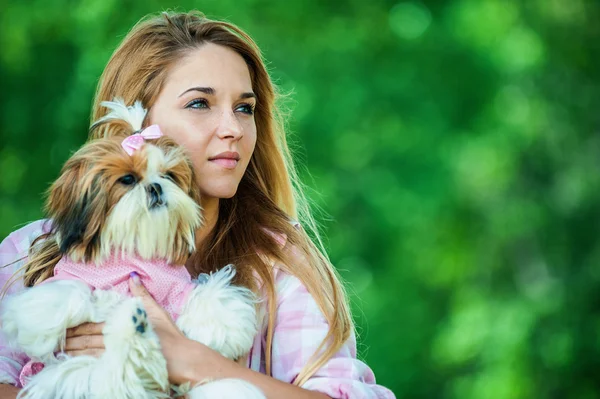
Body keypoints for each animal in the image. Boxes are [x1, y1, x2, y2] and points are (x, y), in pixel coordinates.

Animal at [1, 99, 264, 399]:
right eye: (127, 180)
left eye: (168, 176)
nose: (156, 187)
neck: (133, 251)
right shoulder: (68, 279)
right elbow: (66, 291)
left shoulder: (176, 286)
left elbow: (209, 298)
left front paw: (223, 327)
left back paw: (135, 329)